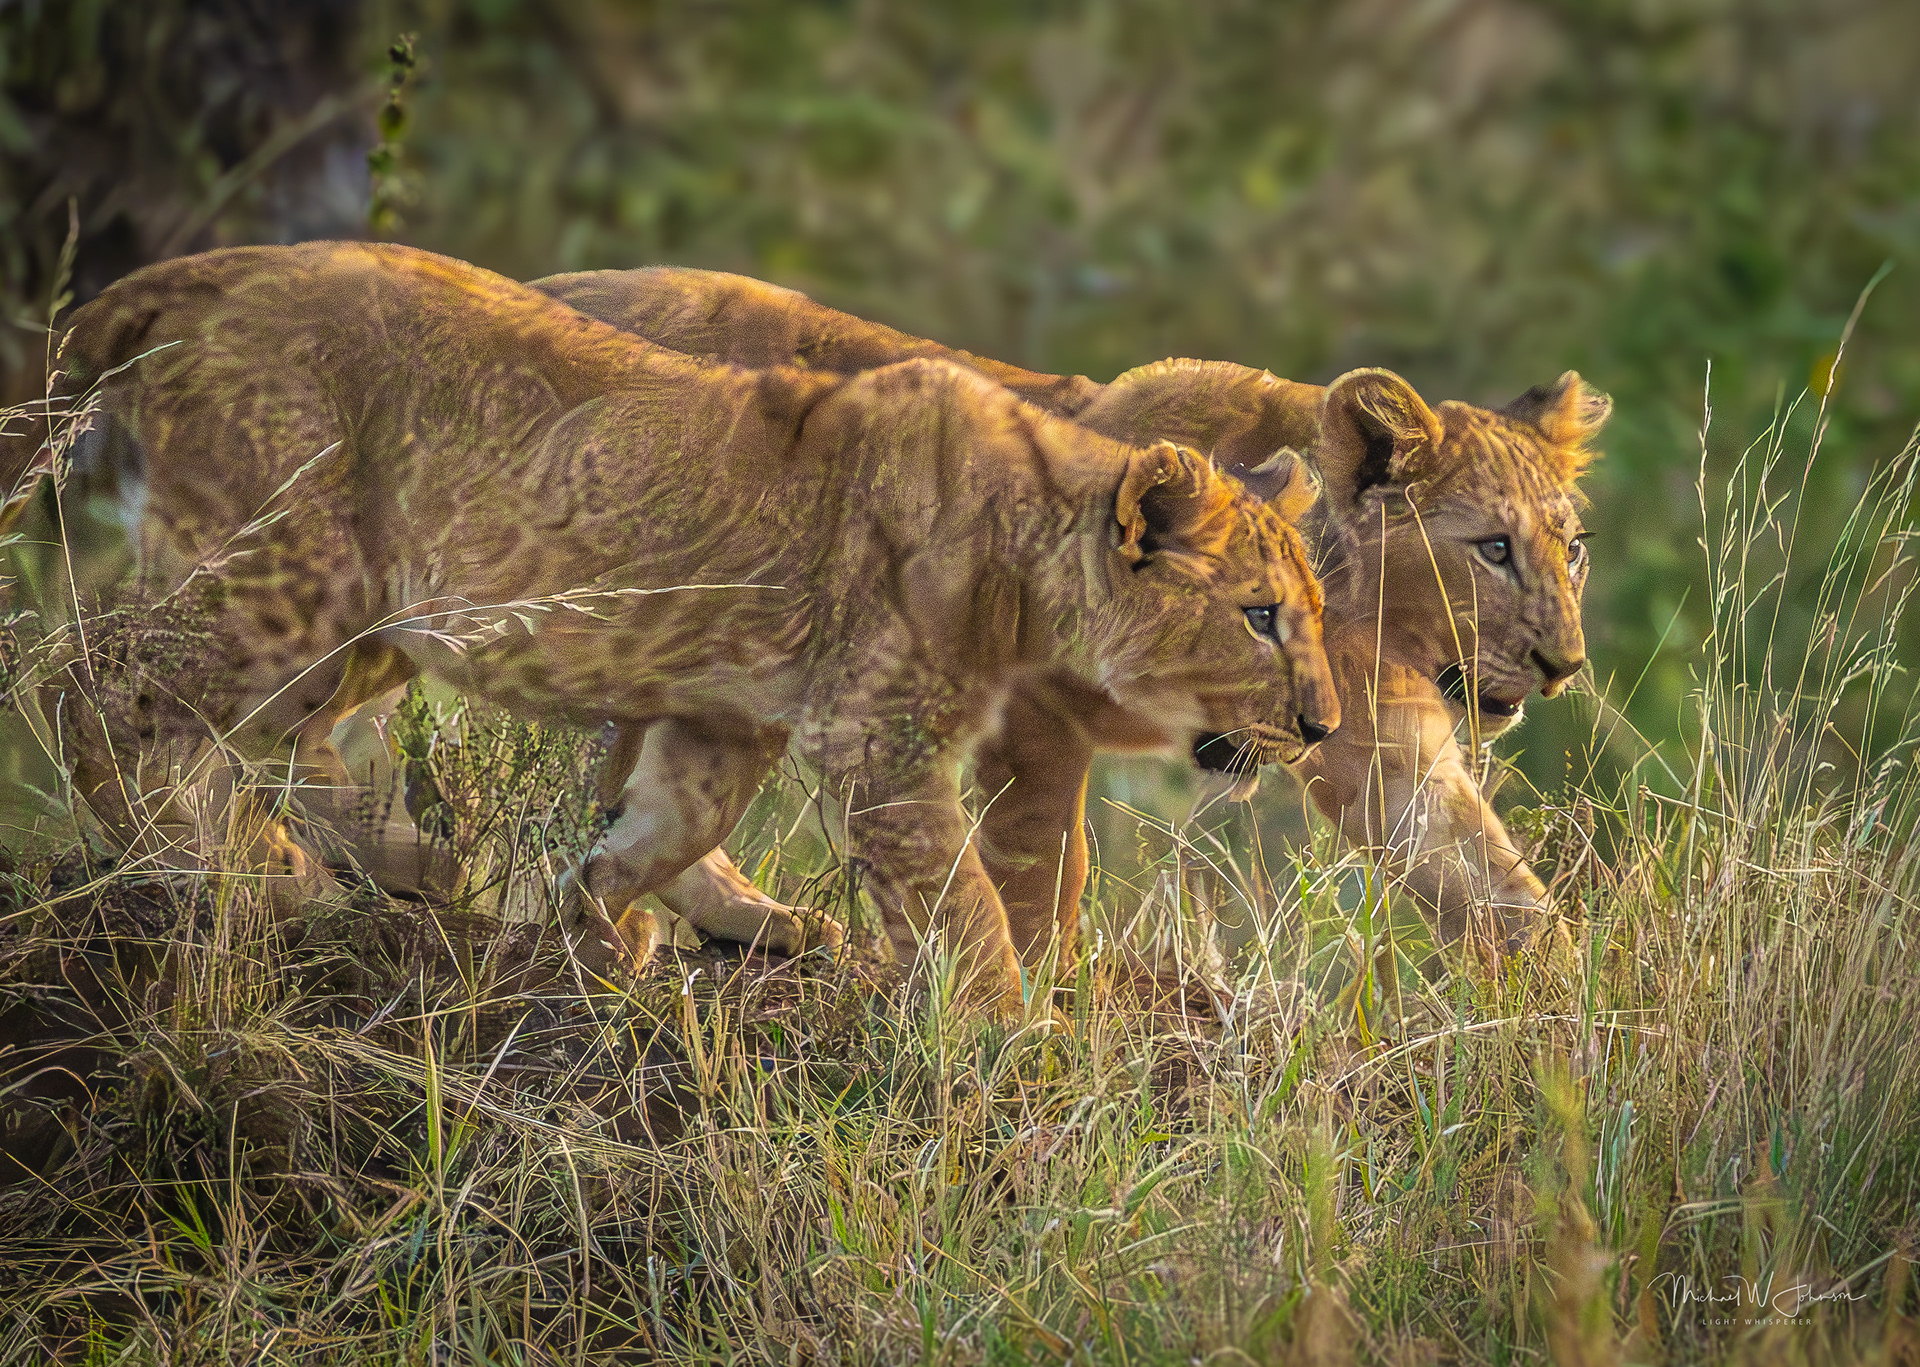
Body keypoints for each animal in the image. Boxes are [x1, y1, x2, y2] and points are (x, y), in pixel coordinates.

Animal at [4, 241, 1338, 1013]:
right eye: (1259, 616)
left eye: (1316, 612)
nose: (1325, 725)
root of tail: (212, 267)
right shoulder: (882, 743)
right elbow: (966, 907)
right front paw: (1018, 1037)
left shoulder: (726, 720)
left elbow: (659, 824)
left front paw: (597, 925)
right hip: (292, 569)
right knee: (92, 672)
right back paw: (206, 869)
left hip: (365, 606)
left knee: (280, 732)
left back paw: (368, 865)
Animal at [533, 267, 1608, 963]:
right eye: (1493, 549)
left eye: (1572, 547)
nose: (1564, 665)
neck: (1355, 621)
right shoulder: (1031, 709)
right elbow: (1045, 869)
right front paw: (1044, 1014)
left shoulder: (1383, 746)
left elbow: (1493, 882)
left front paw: (1569, 1035)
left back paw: (733, 921)